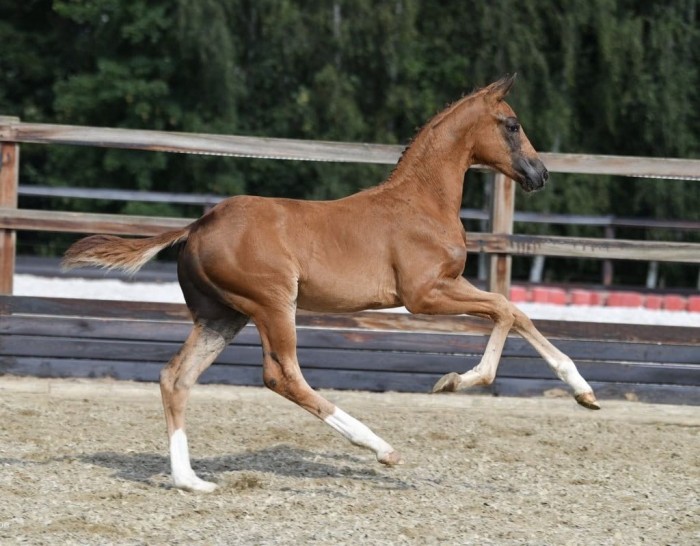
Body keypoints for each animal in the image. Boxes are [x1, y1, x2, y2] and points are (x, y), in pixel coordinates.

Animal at [64, 74, 596, 490]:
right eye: (512, 124)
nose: (540, 174)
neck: (422, 203)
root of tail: (198, 225)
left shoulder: (447, 286)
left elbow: (516, 311)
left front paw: (584, 392)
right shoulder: (423, 295)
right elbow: (506, 308)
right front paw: (455, 382)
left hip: (222, 316)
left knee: (176, 377)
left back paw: (190, 480)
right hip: (273, 304)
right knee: (281, 375)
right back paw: (379, 446)